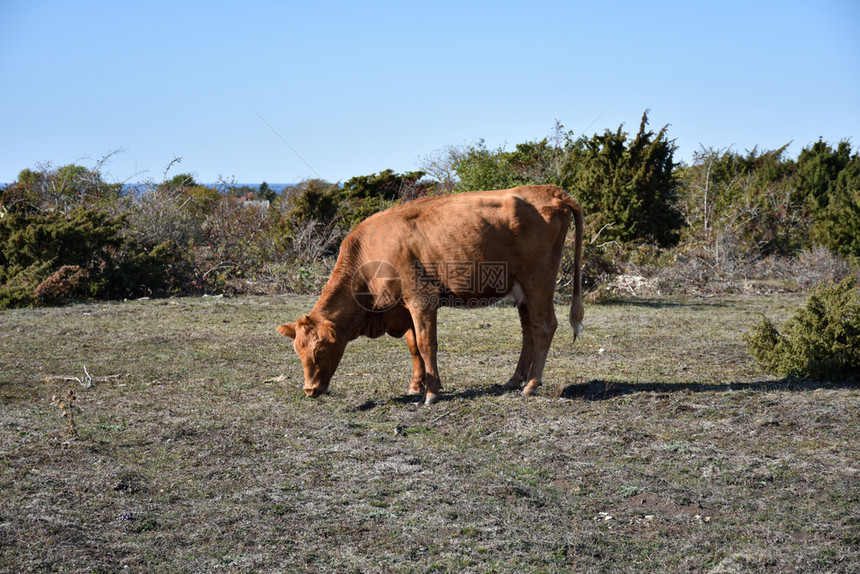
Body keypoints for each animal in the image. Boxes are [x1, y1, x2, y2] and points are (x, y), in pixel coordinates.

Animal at [276, 184, 584, 404]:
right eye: (298, 351)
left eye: (321, 349)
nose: (310, 390)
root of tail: (549, 190)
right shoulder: (404, 307)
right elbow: (414, 347)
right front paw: (416, 386)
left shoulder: (421, 299)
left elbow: (426, 344)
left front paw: (432, 392)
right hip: (521, 290)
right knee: (528, 331)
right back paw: (514, 380)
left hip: (538, 281)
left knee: (545, 327)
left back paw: (531, 385)